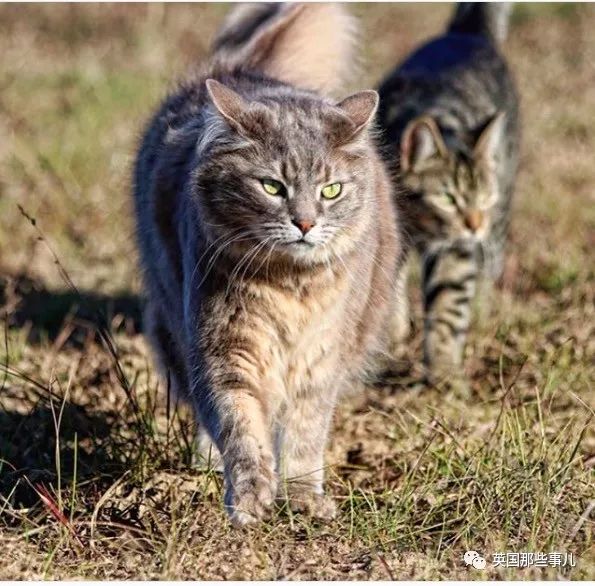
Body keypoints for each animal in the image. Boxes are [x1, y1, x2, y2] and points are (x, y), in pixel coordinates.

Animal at [134, 3, 406, 524]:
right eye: (272, 187)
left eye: (331, 190)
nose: (305, 222)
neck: (289, 288)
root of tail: (242, 69)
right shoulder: (224, 351)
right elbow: (240, 428)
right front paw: (250, 497)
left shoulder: (319, 361)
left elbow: (304, 436)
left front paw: (301, 497)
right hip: (172, 326)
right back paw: (207, 463)